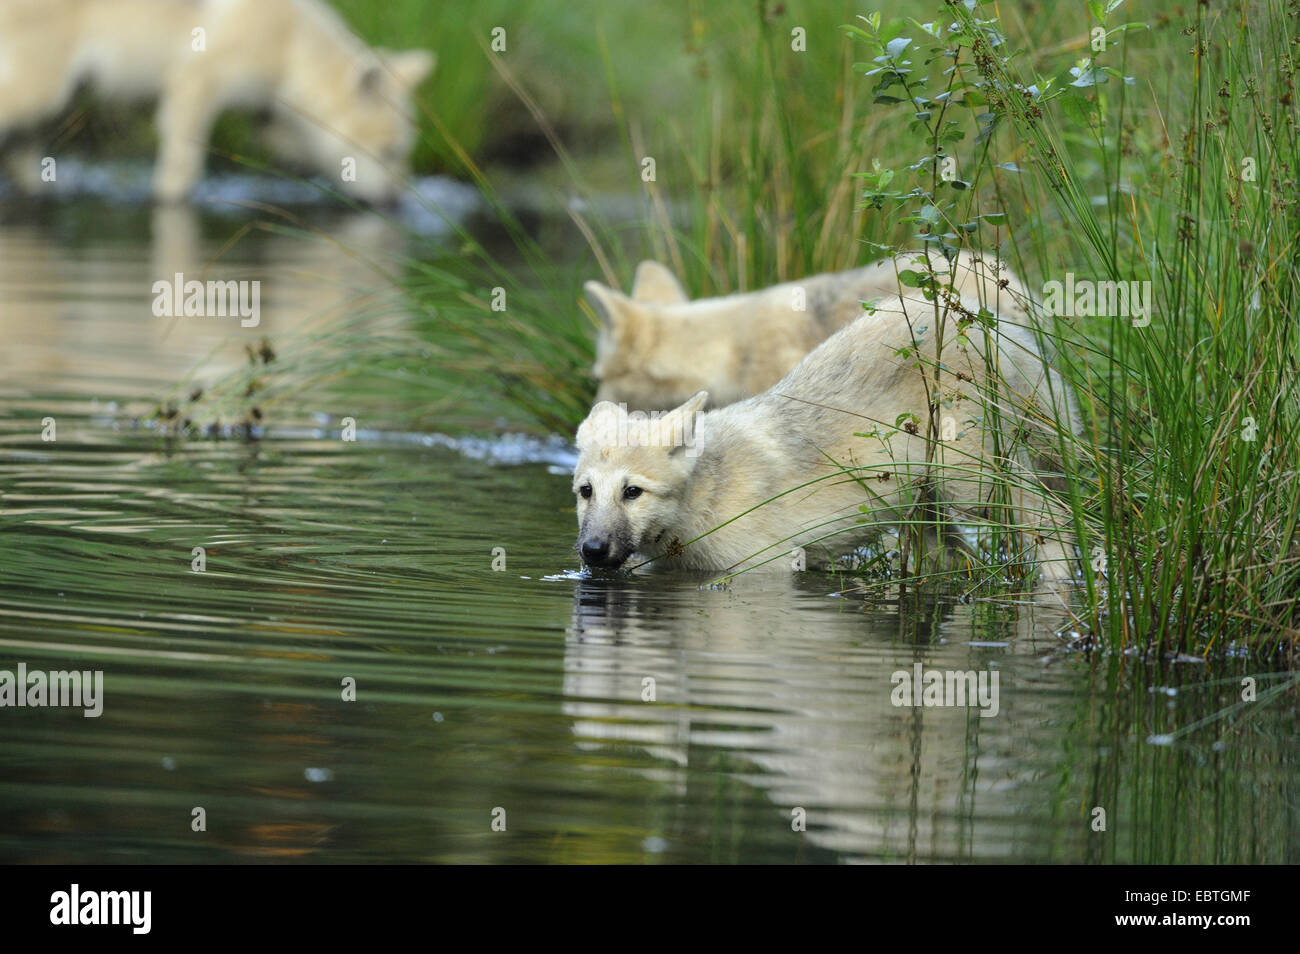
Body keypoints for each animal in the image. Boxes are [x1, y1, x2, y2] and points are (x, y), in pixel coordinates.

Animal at [0, 0, 436, 201]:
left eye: (401, 153)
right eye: (389, 151)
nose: (397, 203)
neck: (291, 48)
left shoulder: (270, 119)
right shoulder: (195, 83)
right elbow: (182, 170)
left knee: (23, 157)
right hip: (40, 90)